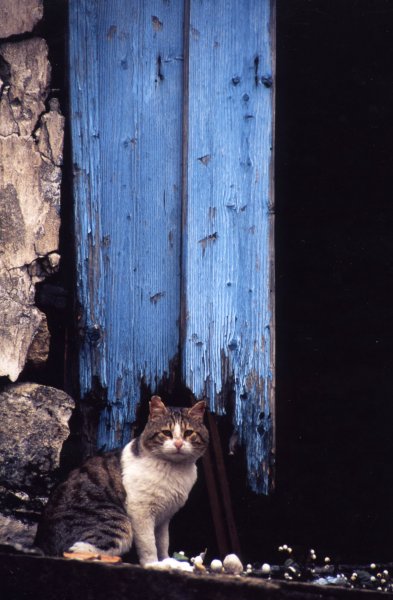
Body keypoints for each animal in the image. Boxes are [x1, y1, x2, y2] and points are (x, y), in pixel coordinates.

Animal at [35, 396, 208, 564]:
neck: (174, 470)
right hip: (120, 523)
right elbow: (149, 544)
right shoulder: (141, 512)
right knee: (75, 550)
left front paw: (166, 560)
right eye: (166, 432)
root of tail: (42, 542)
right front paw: (154, 564)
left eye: (188, 433)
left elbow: (163, 543)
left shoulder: (164, 518)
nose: (178, 444)